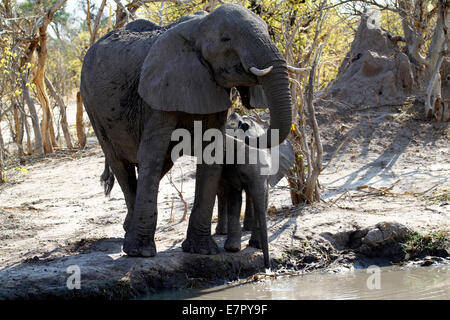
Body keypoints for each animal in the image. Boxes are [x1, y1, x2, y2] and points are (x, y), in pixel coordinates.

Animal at [80, 3, 292, 258]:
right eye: (226, 39)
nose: (244, 124)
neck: (197, 28)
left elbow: (211, 153)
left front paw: (201, 251)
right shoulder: (158, 91)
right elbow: (152, 152)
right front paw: (140, 253)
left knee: (159, 165)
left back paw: (128, 227)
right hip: (91, 105)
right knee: (121, 164)